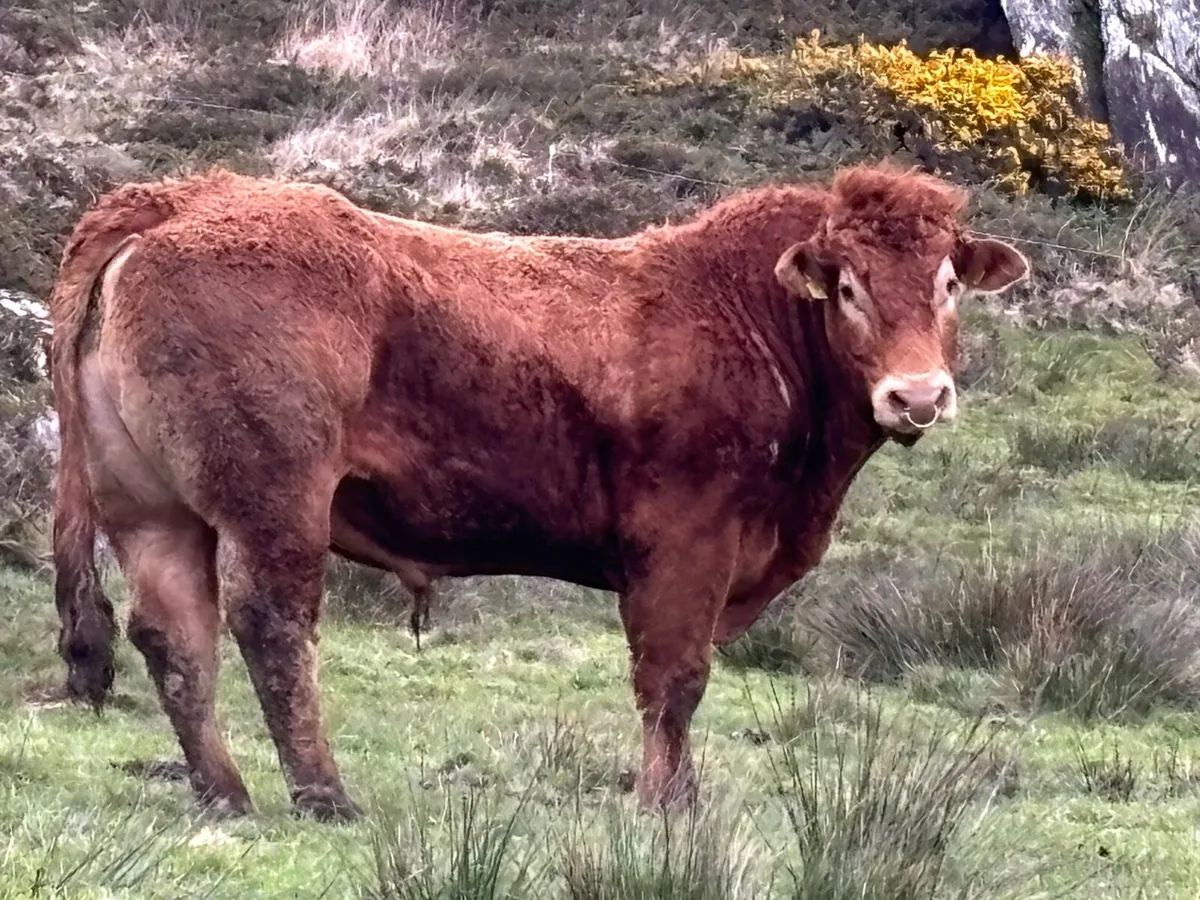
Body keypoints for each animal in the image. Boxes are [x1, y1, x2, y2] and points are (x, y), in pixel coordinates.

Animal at [48, 162, 1028, 821]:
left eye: (947, 283)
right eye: (849, 287)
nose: (918, 396)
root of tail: (187, 194)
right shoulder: (687, 542)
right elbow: (673, 679)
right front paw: (668, 805)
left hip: (151, 510)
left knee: (174, 637)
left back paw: (225, 793)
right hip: (273, 500)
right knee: (271, 627)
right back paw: (324, 794)